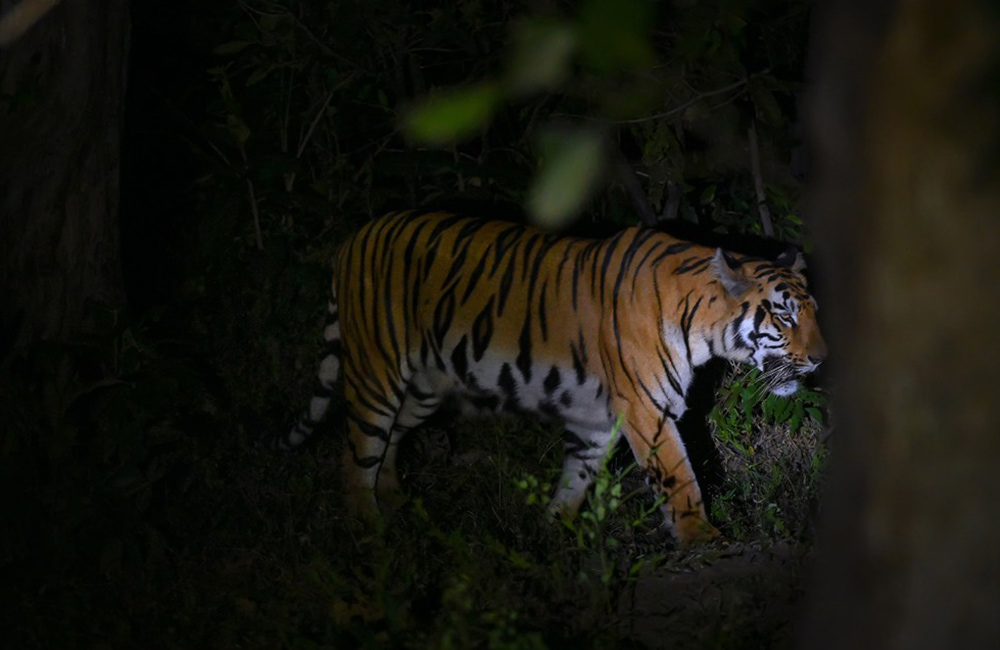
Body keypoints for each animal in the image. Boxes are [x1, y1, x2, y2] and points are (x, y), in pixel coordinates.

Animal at [278, 209, 824, 540]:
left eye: (812, 312)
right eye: (785, 316)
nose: (821, 358)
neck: (702, 326)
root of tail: (353, 238)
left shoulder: (600, 422)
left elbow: (576, 478)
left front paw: (552, 532)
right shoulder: (647, 412)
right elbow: (680, 480)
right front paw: (703, 540)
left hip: (426, 386)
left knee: (391, 439)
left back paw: (395, 502)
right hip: (377, 375)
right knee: (356, 458)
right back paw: (370, 532)